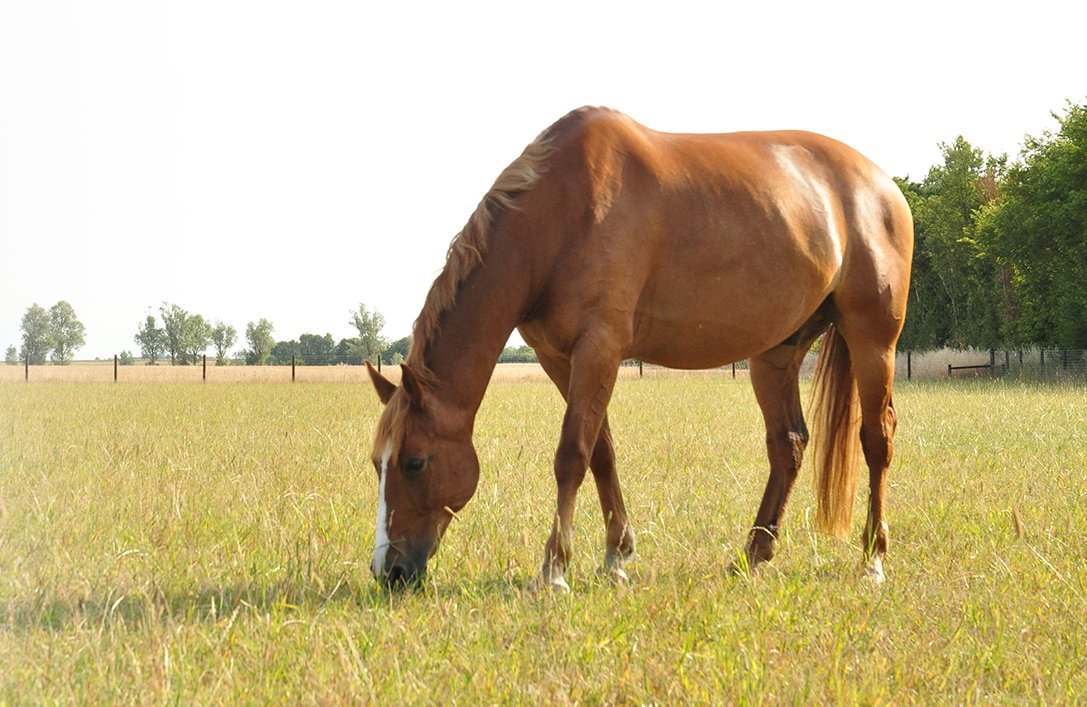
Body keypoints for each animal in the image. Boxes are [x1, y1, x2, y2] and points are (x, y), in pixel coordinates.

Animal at [365, 104, 908, 587]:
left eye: (415, 461)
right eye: (377, 463)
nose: (389, 572)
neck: (562, 215)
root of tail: (883, 187)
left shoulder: (599, 348)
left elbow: (572, 454)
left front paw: (554, 570)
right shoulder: (560, 358)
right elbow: (601, 452)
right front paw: (616, 556)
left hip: (873, 340)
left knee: (876, 440)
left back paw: (873, 561)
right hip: (776, 354)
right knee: (788, 444)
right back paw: (752, 554)